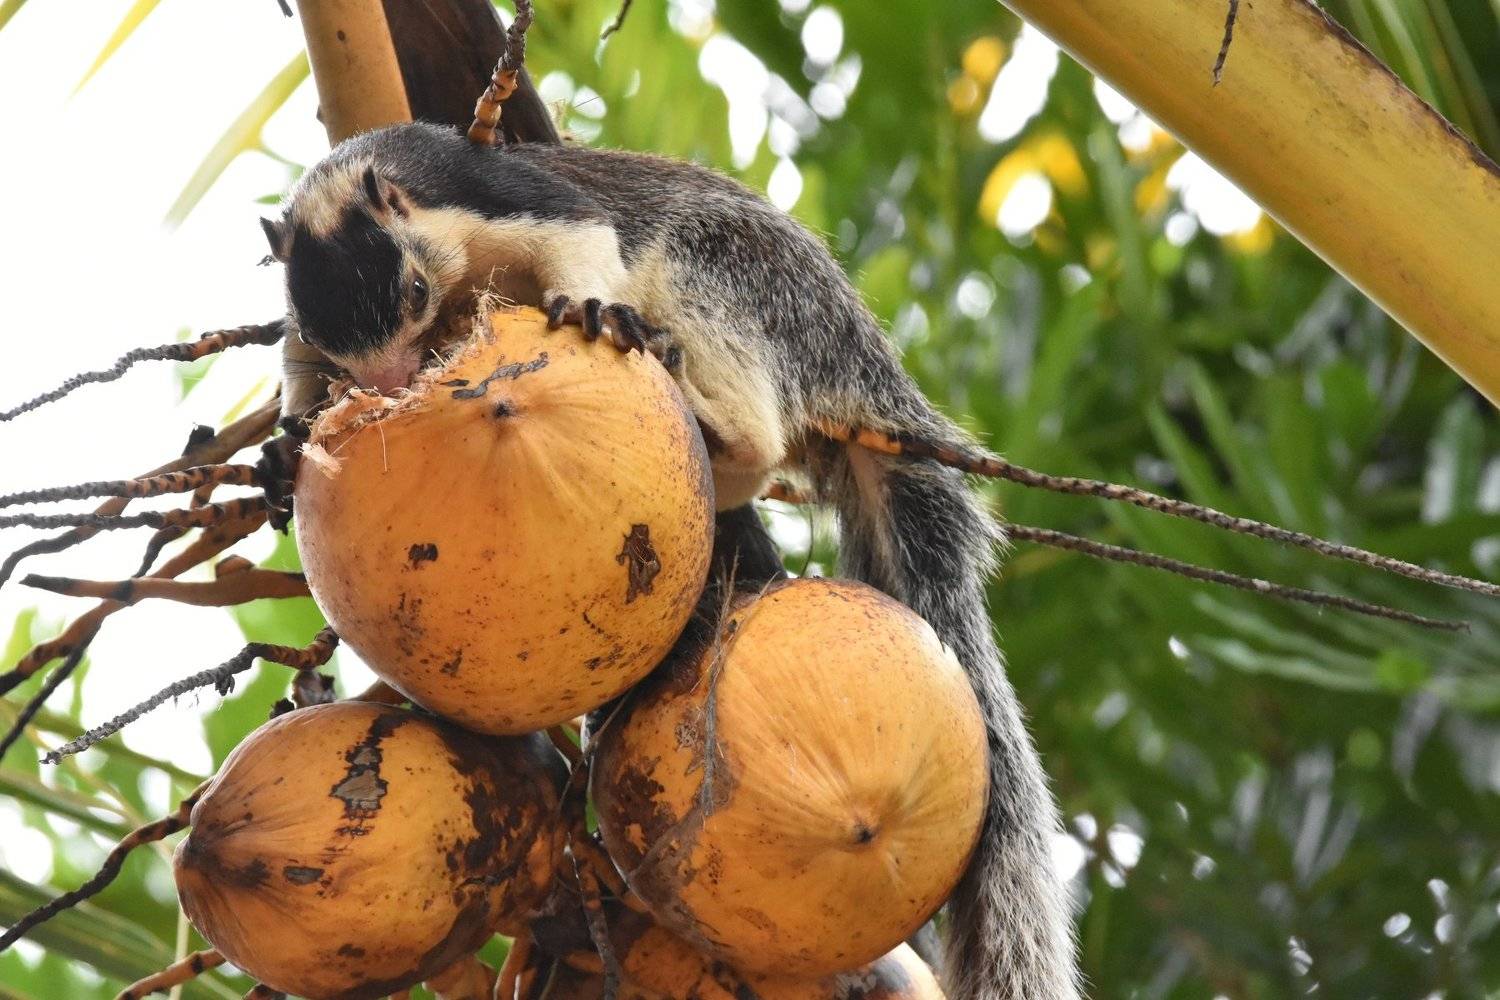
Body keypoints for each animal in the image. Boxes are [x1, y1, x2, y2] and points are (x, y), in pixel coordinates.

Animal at [262, 120, 1081, 1000]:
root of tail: (867, 382)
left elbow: (584, 235)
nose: (393, 381)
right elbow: (298, 375)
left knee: (753, 421)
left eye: (414, 293)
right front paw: (286, 450)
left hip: (736, 278)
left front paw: (586, 307)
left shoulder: (498, 194)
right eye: (327, 329)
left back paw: (706, 412)